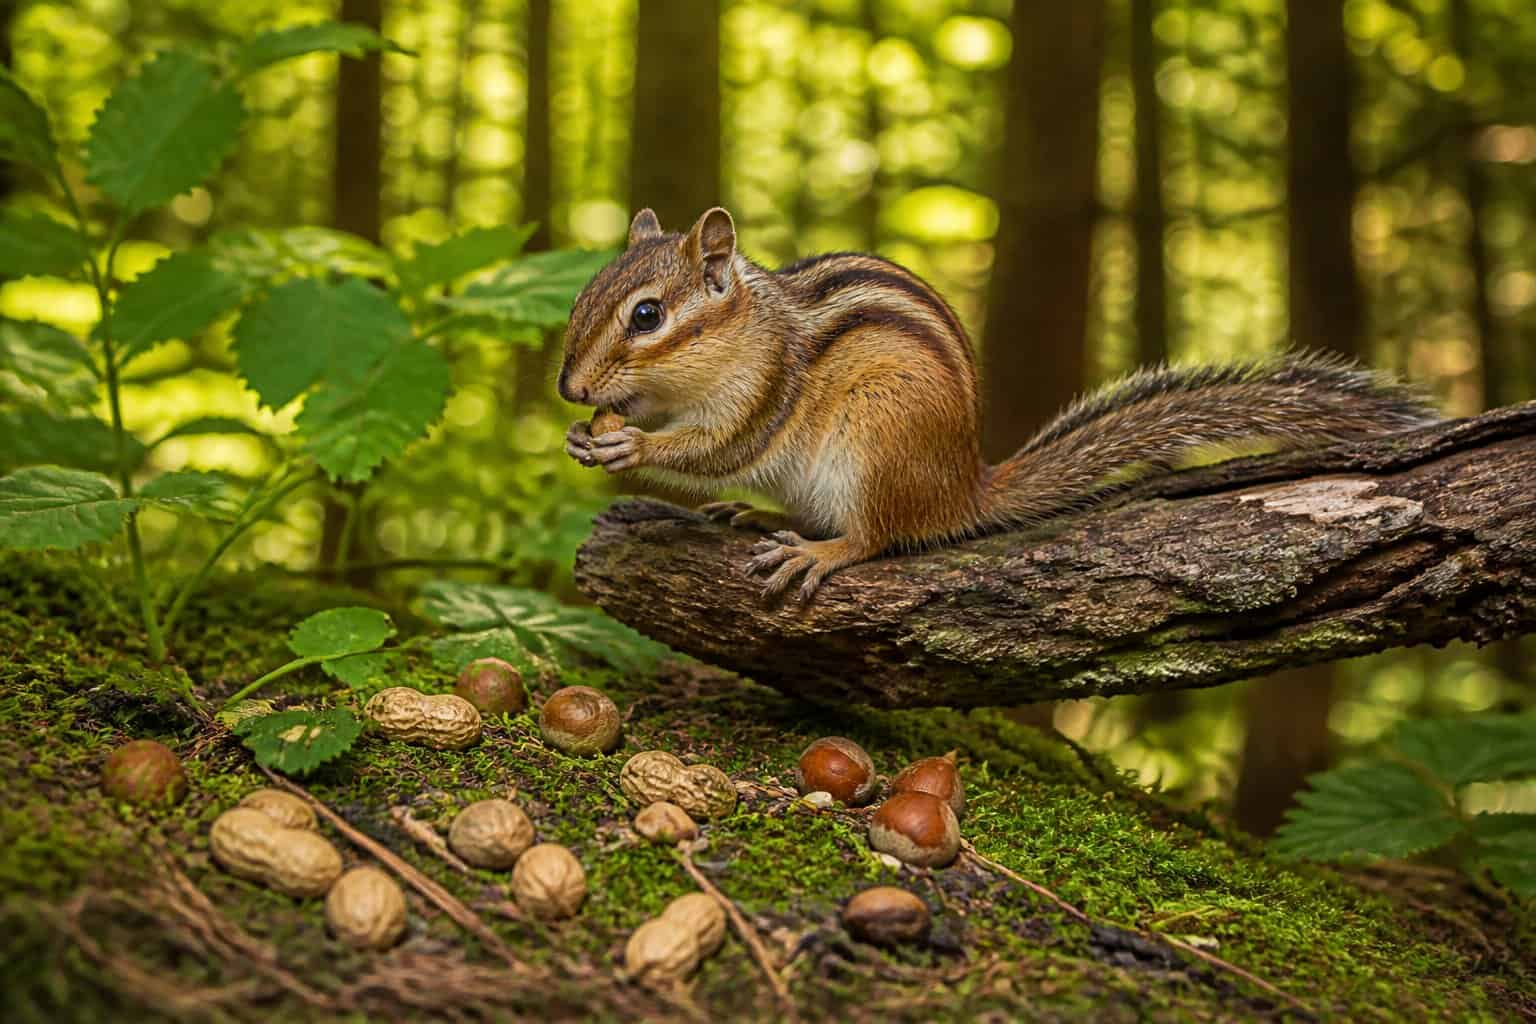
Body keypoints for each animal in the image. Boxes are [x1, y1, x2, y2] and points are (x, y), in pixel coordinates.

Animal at [559, 206, 1437, 603]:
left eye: (647, 316)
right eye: (581, 296)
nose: (569, 389)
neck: (743, 329)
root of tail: (963, 487)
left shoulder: (765, 389)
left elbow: (720, 448)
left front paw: (632, 447)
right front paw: (586, 434)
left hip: (876, 441)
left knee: (878, 536)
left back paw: (820, 551)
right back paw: (758, 516)